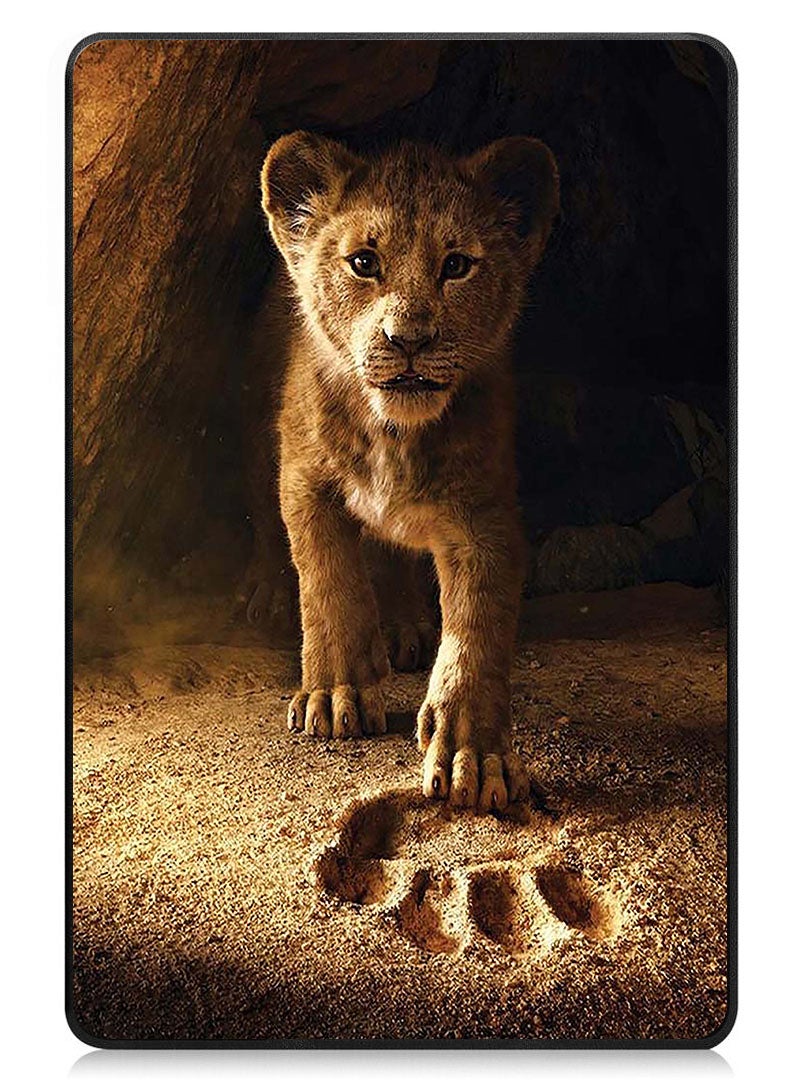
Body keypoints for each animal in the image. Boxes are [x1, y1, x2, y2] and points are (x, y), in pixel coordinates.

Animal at [257, 131, 559, 811]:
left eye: (458, 265)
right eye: (364, 262)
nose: (410, 340)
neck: (395, 433)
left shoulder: (486, 517)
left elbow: (477, 628)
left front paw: (475, 754)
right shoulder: (304, 481)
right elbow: (329, 583)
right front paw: (335, 693)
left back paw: (403, 629)